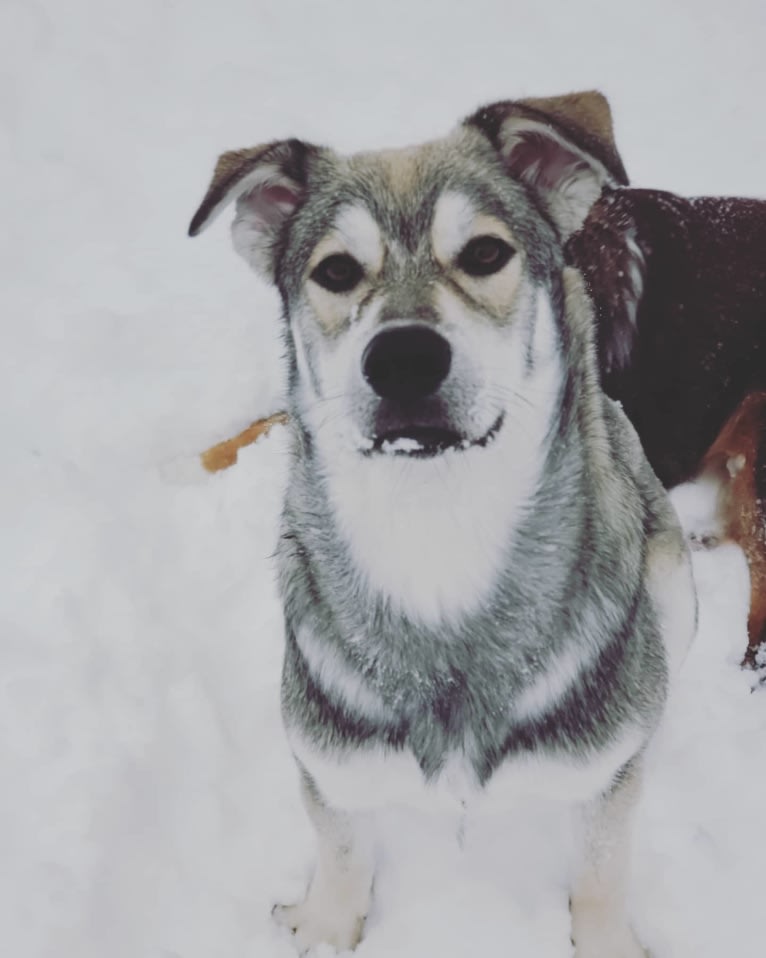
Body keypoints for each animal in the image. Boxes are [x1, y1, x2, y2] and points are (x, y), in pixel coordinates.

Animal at [189, 95, 700, 958]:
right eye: (335, 271)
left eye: (487, 252)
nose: (403, 358)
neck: (438, 540)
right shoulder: (329, 762)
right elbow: (341, 846)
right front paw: (327, 925)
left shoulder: (605, 770)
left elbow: (602, 865)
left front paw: (602, 935)